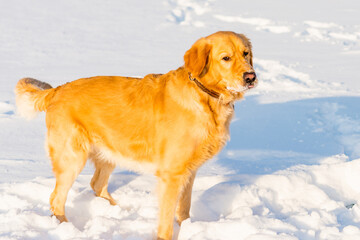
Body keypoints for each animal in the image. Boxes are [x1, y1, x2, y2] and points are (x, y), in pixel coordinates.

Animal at [14, 31, 256, 239]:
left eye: (245, 53)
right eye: (226, 58)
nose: (251, 76)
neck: (205, 95)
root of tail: (56, 90)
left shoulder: (189, 171)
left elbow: (184, 209)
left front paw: (187, 228)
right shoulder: (172, 174)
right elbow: (166, 221)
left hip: (108, 152)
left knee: (96, 184)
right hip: (72, 158)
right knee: (56, 198)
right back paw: (67, 228)